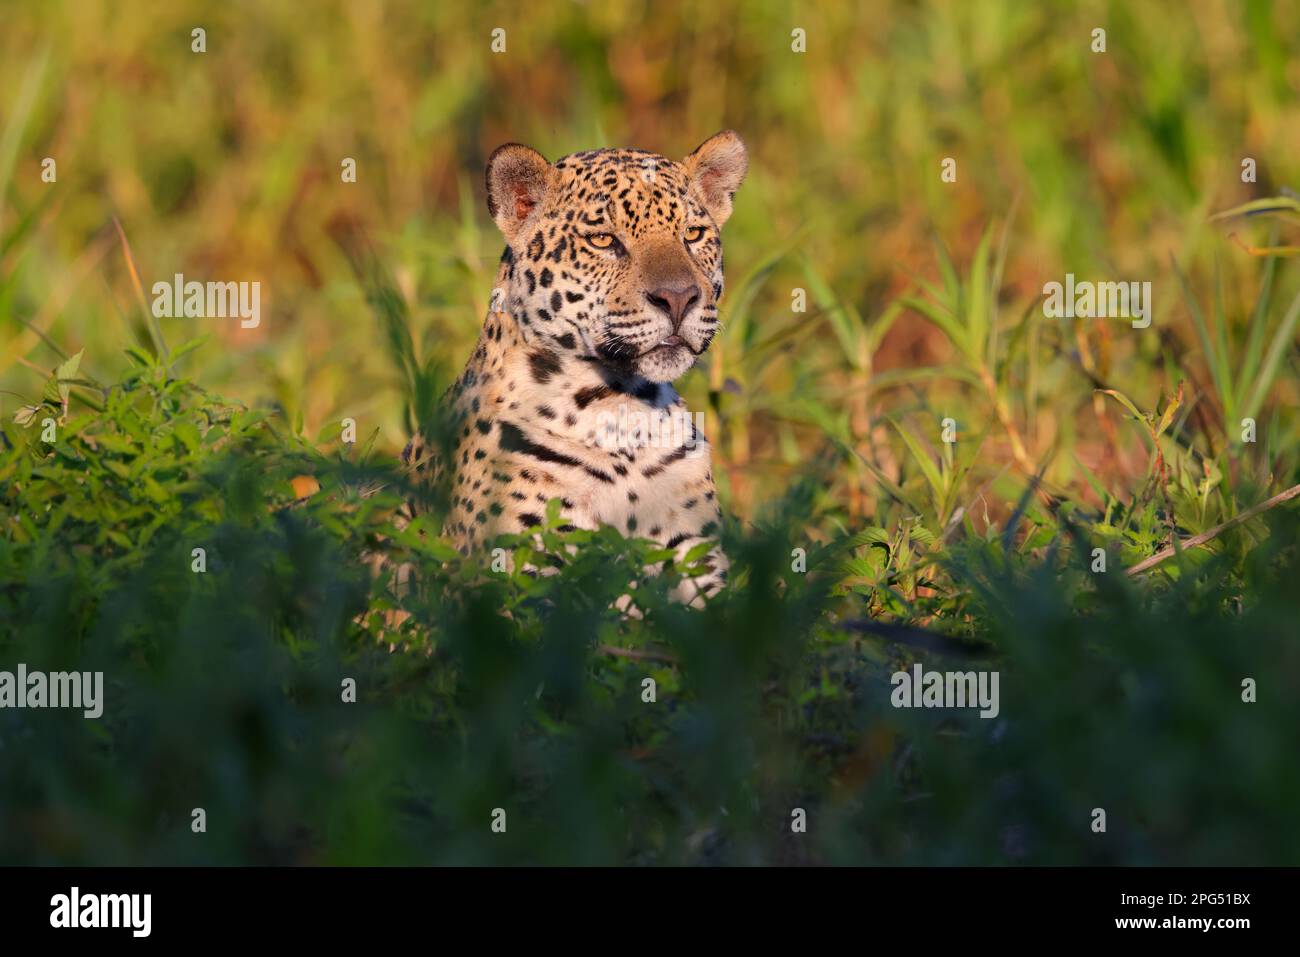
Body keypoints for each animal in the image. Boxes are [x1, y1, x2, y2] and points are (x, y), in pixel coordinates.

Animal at [401, 130, 747, 606]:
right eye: (603, 241)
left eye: (693, 235)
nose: (678, 298)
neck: (622, 411)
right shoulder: (523, 572)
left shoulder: (697, 561)